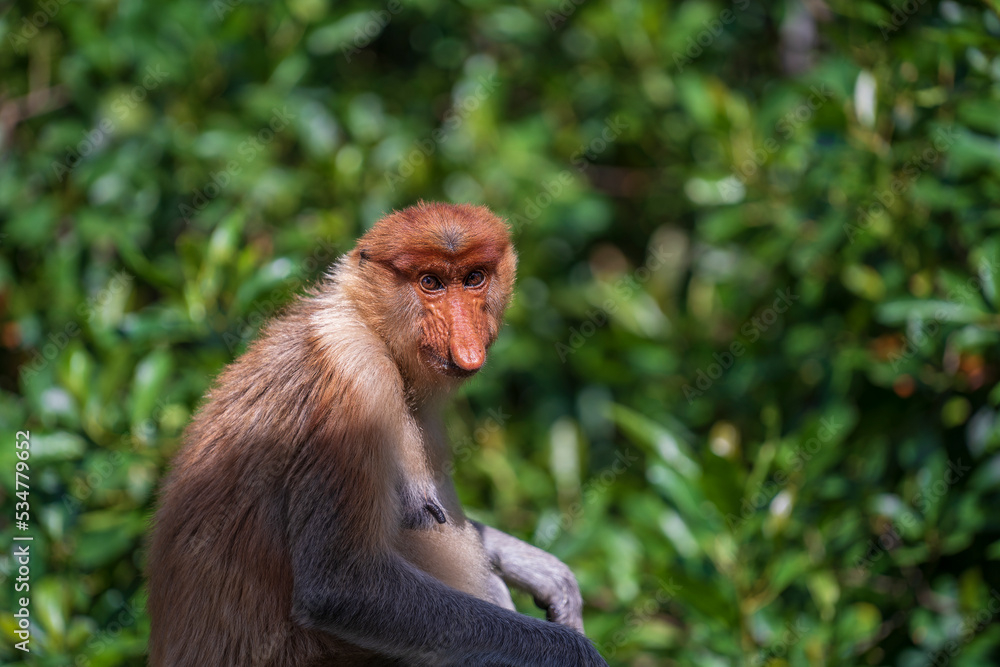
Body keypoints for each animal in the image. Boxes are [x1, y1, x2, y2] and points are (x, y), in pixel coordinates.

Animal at [147, 202, 608, 666]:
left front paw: (549, 575)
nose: (465, 343)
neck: (370, 325)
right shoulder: (357, 383)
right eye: (430, 283)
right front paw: (575, 652)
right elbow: (340, 586)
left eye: (474, 278)